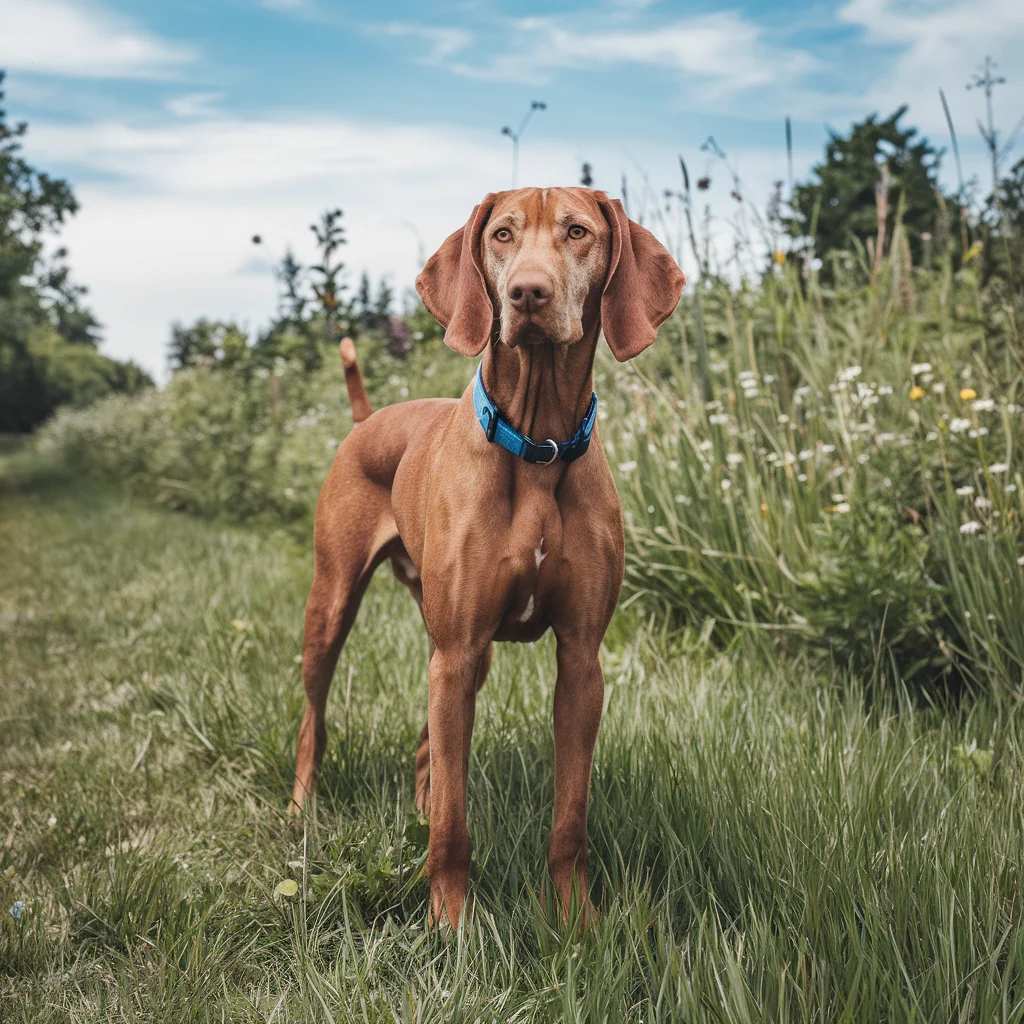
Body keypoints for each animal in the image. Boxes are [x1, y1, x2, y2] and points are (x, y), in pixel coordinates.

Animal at [292, 186, 684, 929]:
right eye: (502, 234)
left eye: (578, 232)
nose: (529, 292)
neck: (539, 445)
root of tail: (366, 420)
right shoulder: (457, 648)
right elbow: (455, 822)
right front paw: (451, 923)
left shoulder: (580, 661)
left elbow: (569, 815)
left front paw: (574, 916)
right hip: (336, 609)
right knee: (315, 721)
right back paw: (300, 808)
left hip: (462, 658)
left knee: (427, 751)